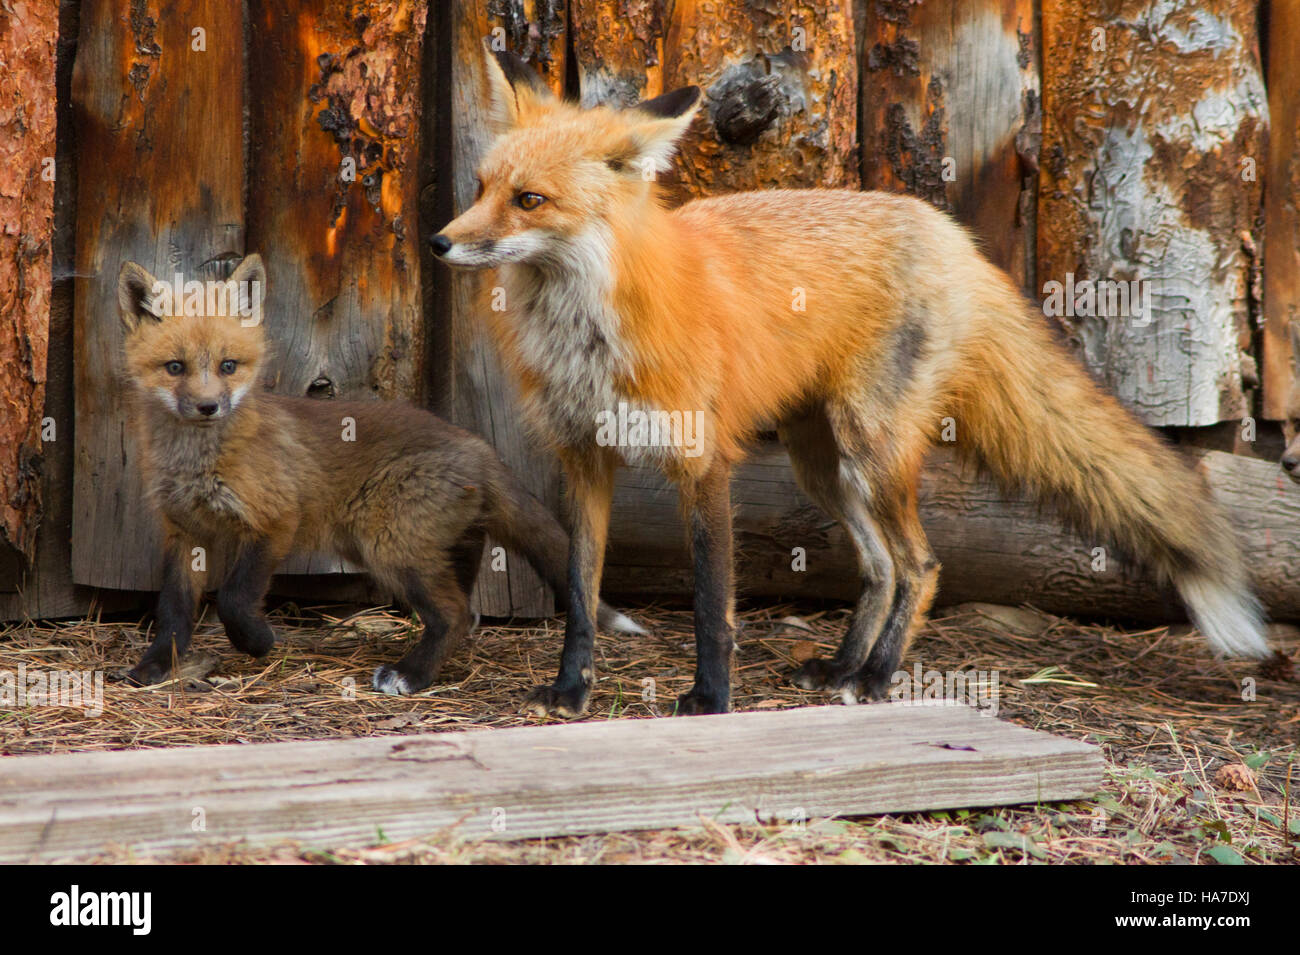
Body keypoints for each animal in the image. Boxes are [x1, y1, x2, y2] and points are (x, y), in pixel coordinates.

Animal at [116, 253, 641, 693]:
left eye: (228, 365)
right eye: (174, 367)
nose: (208, 407)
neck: (197, 461)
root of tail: (478, 445)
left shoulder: (275, 520)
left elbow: (233, 598)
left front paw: (258, 643)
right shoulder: (183, 532)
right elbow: (172, 612)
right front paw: (155, 667)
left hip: (388, 545)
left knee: (453, 613)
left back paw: (412, 675)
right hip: (404, 543)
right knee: (466, 606)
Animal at [428, 49, 1272, 718]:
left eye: (529, 200)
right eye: (481, 186)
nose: (438, 243)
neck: (588, 330)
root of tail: (955, 239)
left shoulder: (703, 462)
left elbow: (711, 600)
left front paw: (711, 697)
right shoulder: (583, 457)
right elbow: (580, 589)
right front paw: (571, 688)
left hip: (872, 451)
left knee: (921, 566)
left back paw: (875, 678)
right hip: (823, 465)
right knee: (879, 566)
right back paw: (842, 664)